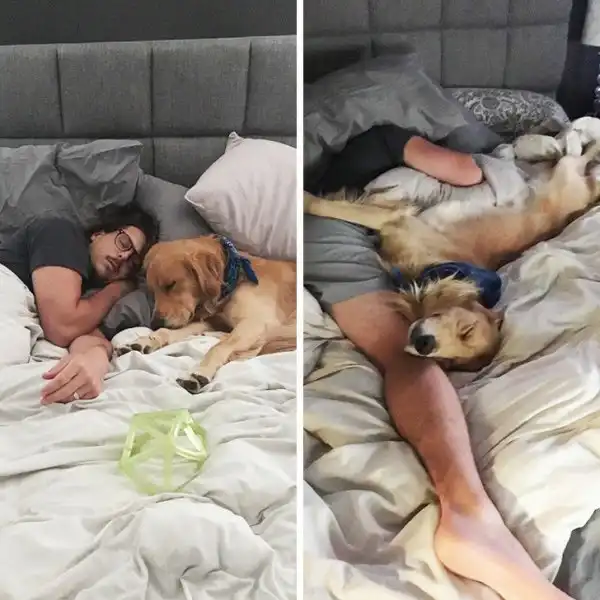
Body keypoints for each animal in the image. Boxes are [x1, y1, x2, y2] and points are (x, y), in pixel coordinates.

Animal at [115, 235, 296, 393]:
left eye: (171, 284)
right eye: (152, 291)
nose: (154, 324)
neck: (233, 278)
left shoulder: (255, 322)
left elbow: (218, 348)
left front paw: (198, 373)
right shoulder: (210, 321)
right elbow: (168, 332)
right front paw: (146, 340)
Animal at [305, 141, 600, 371]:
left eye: (449, 362)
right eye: (466, 329)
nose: (425, 345)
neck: (434, 265)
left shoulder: (394, 219)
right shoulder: (396, 218)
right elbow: (329, 206)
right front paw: (309, 197)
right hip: (565, 171)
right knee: (579, 158)